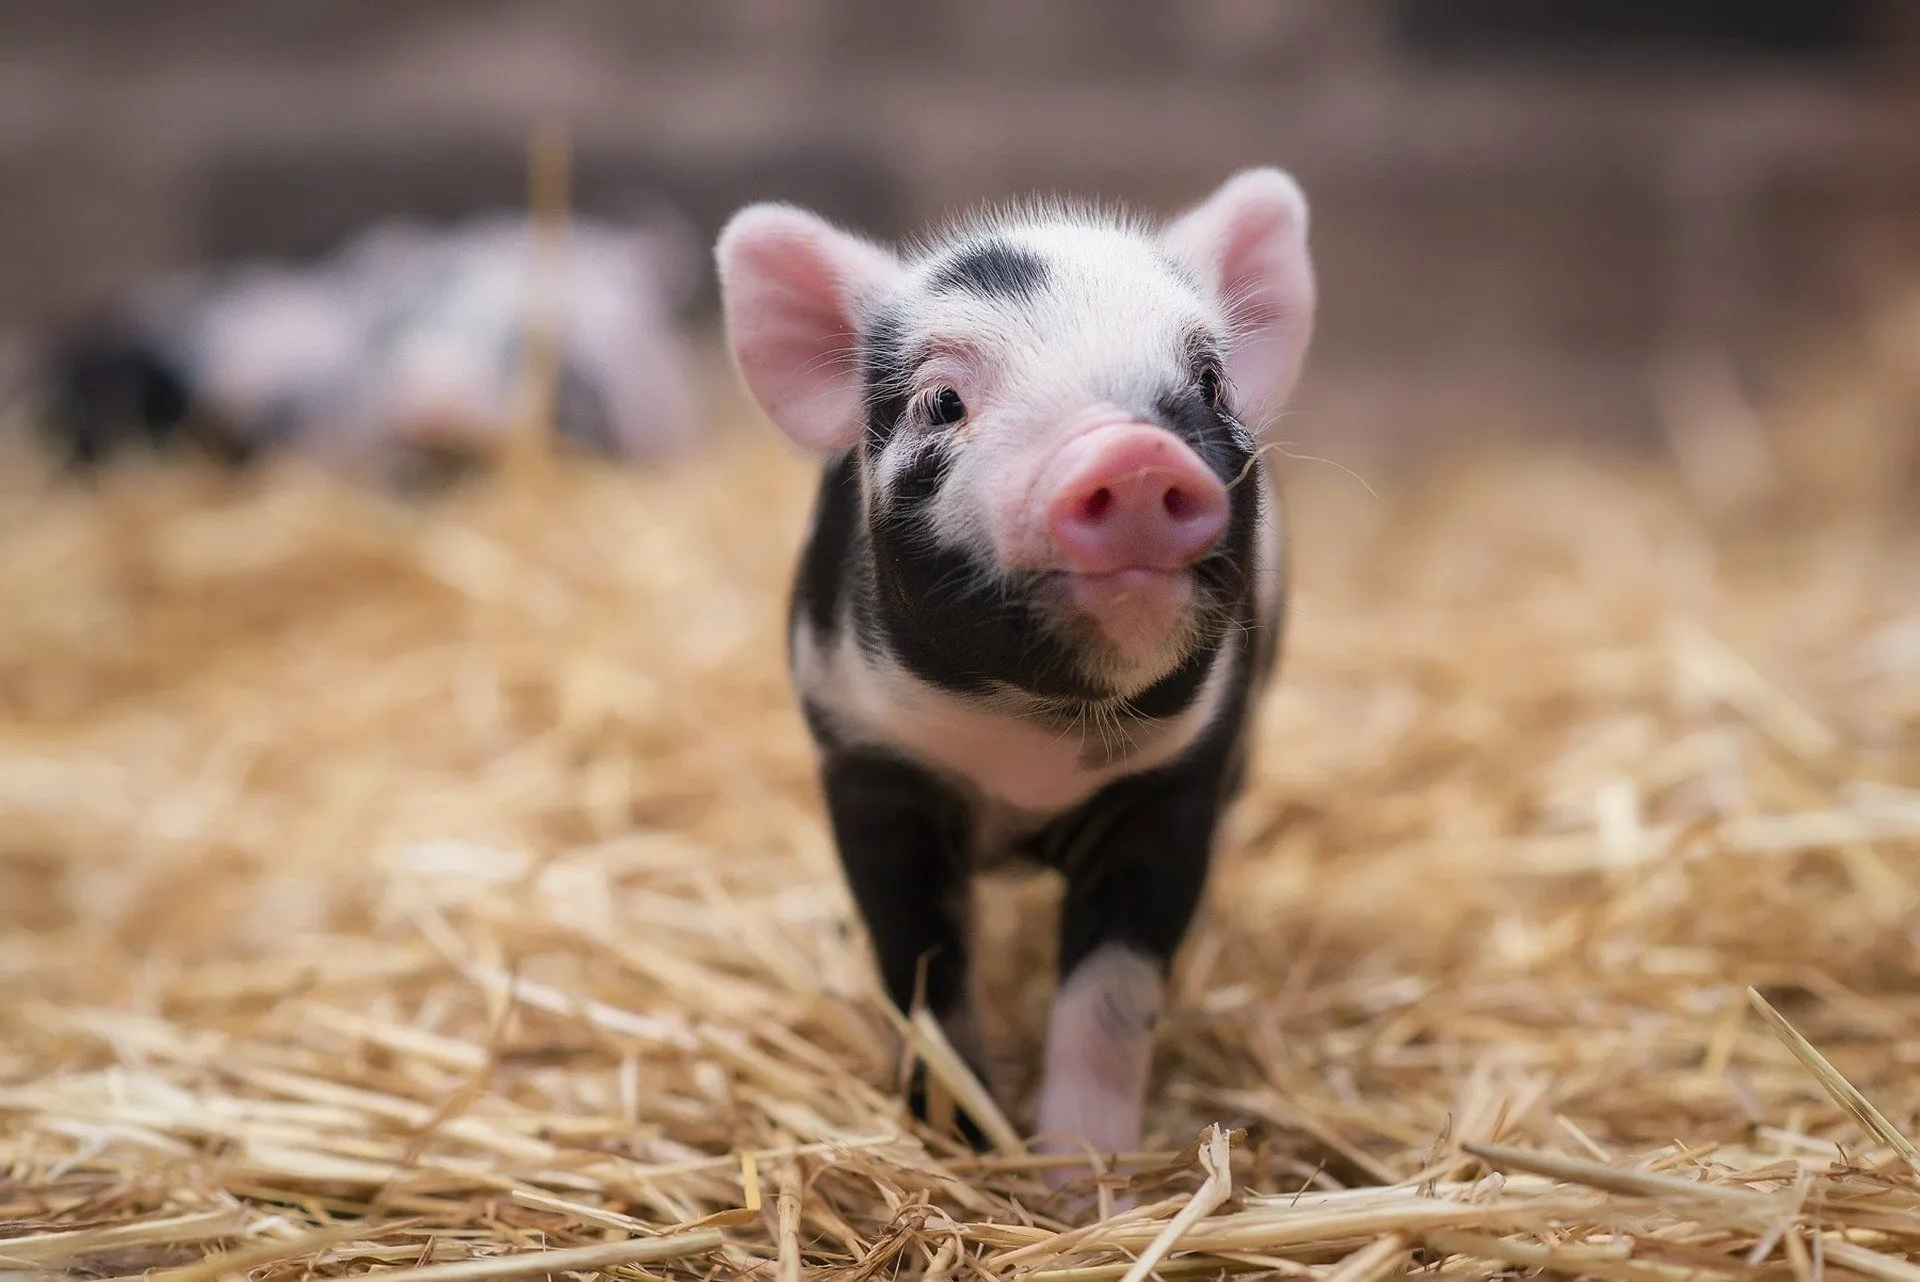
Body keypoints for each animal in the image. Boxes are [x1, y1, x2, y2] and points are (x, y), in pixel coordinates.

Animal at [716, 169, 1314, 1176]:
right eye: (943, 402)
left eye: (1208, 381)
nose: (1134, 453)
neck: (1030, 753)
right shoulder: (871, 773)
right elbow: (920, 972)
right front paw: (958, 1145)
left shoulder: (1174, 790)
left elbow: (1111, 1000)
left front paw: (1085, 1182)